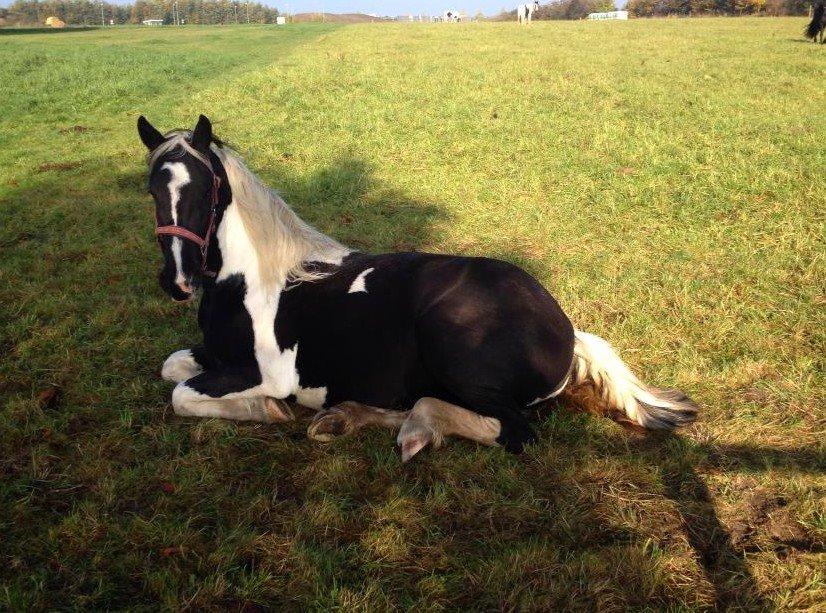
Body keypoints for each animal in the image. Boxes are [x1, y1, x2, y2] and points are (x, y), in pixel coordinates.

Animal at [137, 113, 696, 460]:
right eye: (151, 189)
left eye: (206, 189)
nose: (177, 281)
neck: (255, 280)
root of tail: (568, 331)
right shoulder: (215, 357)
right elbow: (173, 367)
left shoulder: (264, 373)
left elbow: (183, 395)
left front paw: (268, 412)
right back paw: (343, 418)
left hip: (452, 348)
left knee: (506, 428)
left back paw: (409, 429)